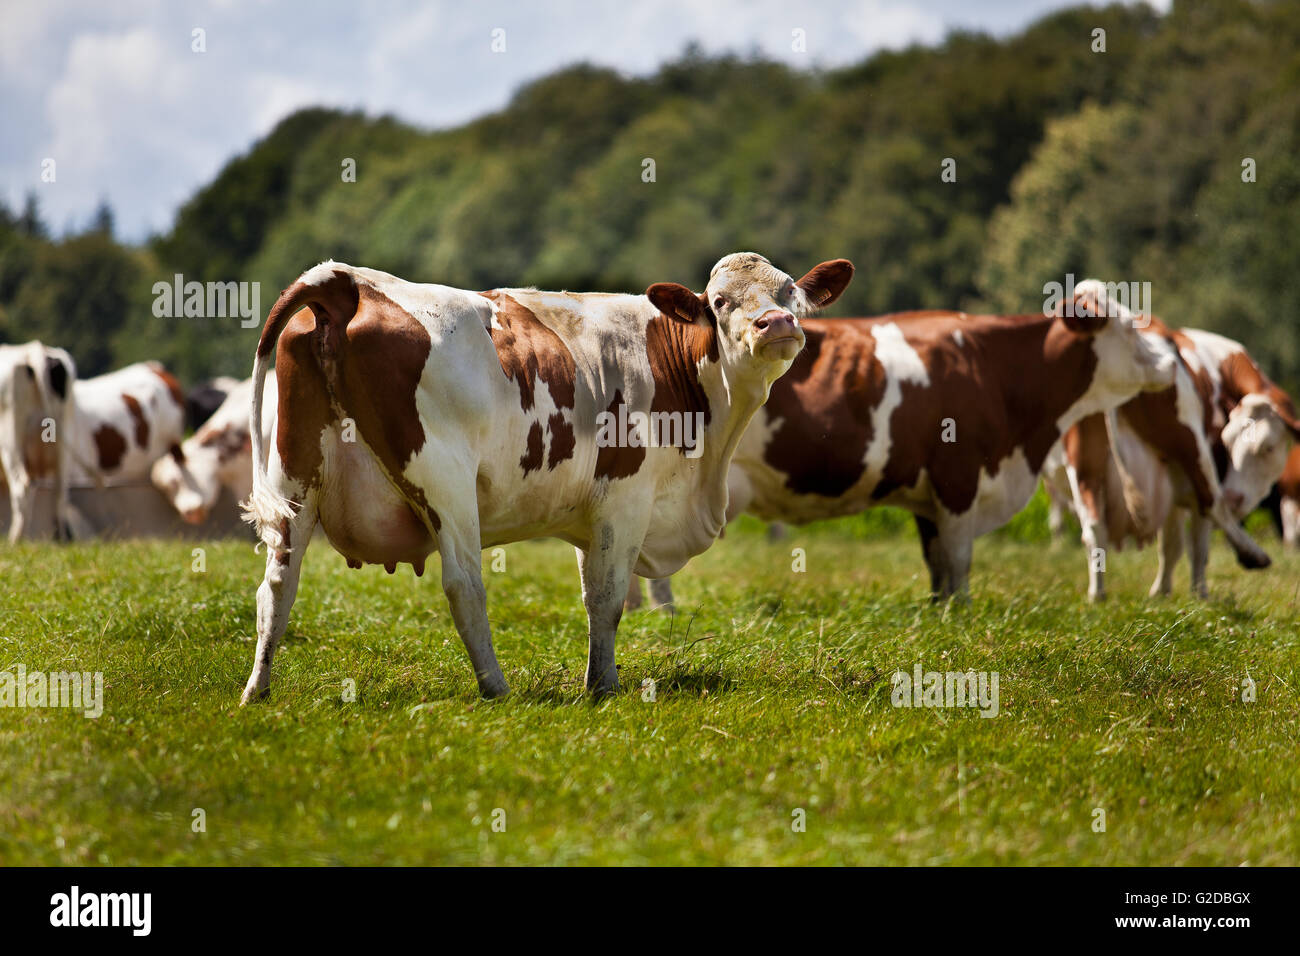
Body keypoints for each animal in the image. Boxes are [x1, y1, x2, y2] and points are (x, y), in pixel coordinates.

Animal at [0, 342, 77, 541]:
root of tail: (34, 350)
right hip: (63, 443)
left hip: (10, 441)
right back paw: (60, 540)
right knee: (60, 491)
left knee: (21, 487)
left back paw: (15, 540)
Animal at [238, 253, 854, 704]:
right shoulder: (626, 501)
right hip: (445, 484)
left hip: (294, 479)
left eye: (790, 295)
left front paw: (599, 679)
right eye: (721, 302)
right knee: (464, 586)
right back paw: (496, 687)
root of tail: (347, 281)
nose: (776, 325)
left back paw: (257, 691)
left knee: (277, 588)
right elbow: (608, 598)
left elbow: (592, 595)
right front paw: (603, 687)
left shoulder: (593, 514)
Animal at [627, 282, 1178, 607]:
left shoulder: (930, 496)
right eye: (1130, 329)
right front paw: (962, 615)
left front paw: (941, 612)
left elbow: (937, 566)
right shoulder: (959, 481)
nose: (1172, 357)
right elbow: (958, 563)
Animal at [1042, 288, 1299, 600]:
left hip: (1085, 464)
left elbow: (1171, 543)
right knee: (1212, 504)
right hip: (1192, 448)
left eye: (1268, 448)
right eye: (1227, 443)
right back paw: (1252, 554)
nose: (1234, 497)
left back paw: (1097, 594)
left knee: (1093, 528)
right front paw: (1197, 593)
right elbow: (1195, 542)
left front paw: (1162, 592)